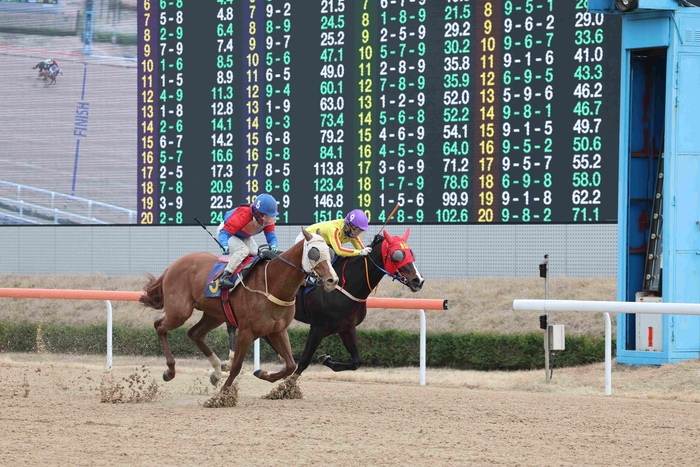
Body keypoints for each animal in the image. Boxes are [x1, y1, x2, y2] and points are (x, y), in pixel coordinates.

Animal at [138, 229, 338, 394]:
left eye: (330, 252)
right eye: (314, 252)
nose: (332, 280)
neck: (271, 283)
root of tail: (172, 265)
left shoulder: (277, 330)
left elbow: (290, 365)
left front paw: (262, 373)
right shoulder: (247, 330)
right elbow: (237, 366)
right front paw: (223, 396)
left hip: (214, 315)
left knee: (194, 333)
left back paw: (216, 372)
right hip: (180, 311)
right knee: (159, 326)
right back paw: (170, 370)